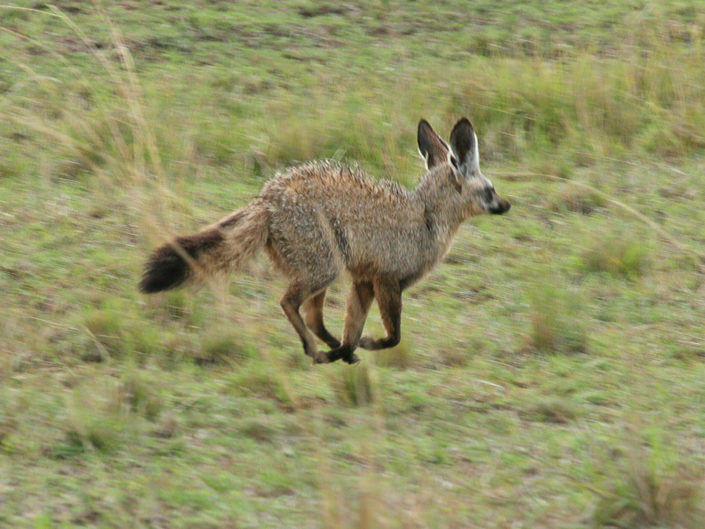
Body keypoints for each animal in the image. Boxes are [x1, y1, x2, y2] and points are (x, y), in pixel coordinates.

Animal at [140, 116, 508, 364]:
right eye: (491, 190)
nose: (507, 205)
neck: (426, 217)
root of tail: (267, 198)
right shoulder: (387, 280)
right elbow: (393, 337)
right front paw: (367, 345)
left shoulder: (363, 281)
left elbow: (354, 329)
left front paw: (349, 349)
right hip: (324, 269)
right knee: (289, 303)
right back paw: (315, 350)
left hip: (324, 271)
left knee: (314, 318)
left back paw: (331, 350)